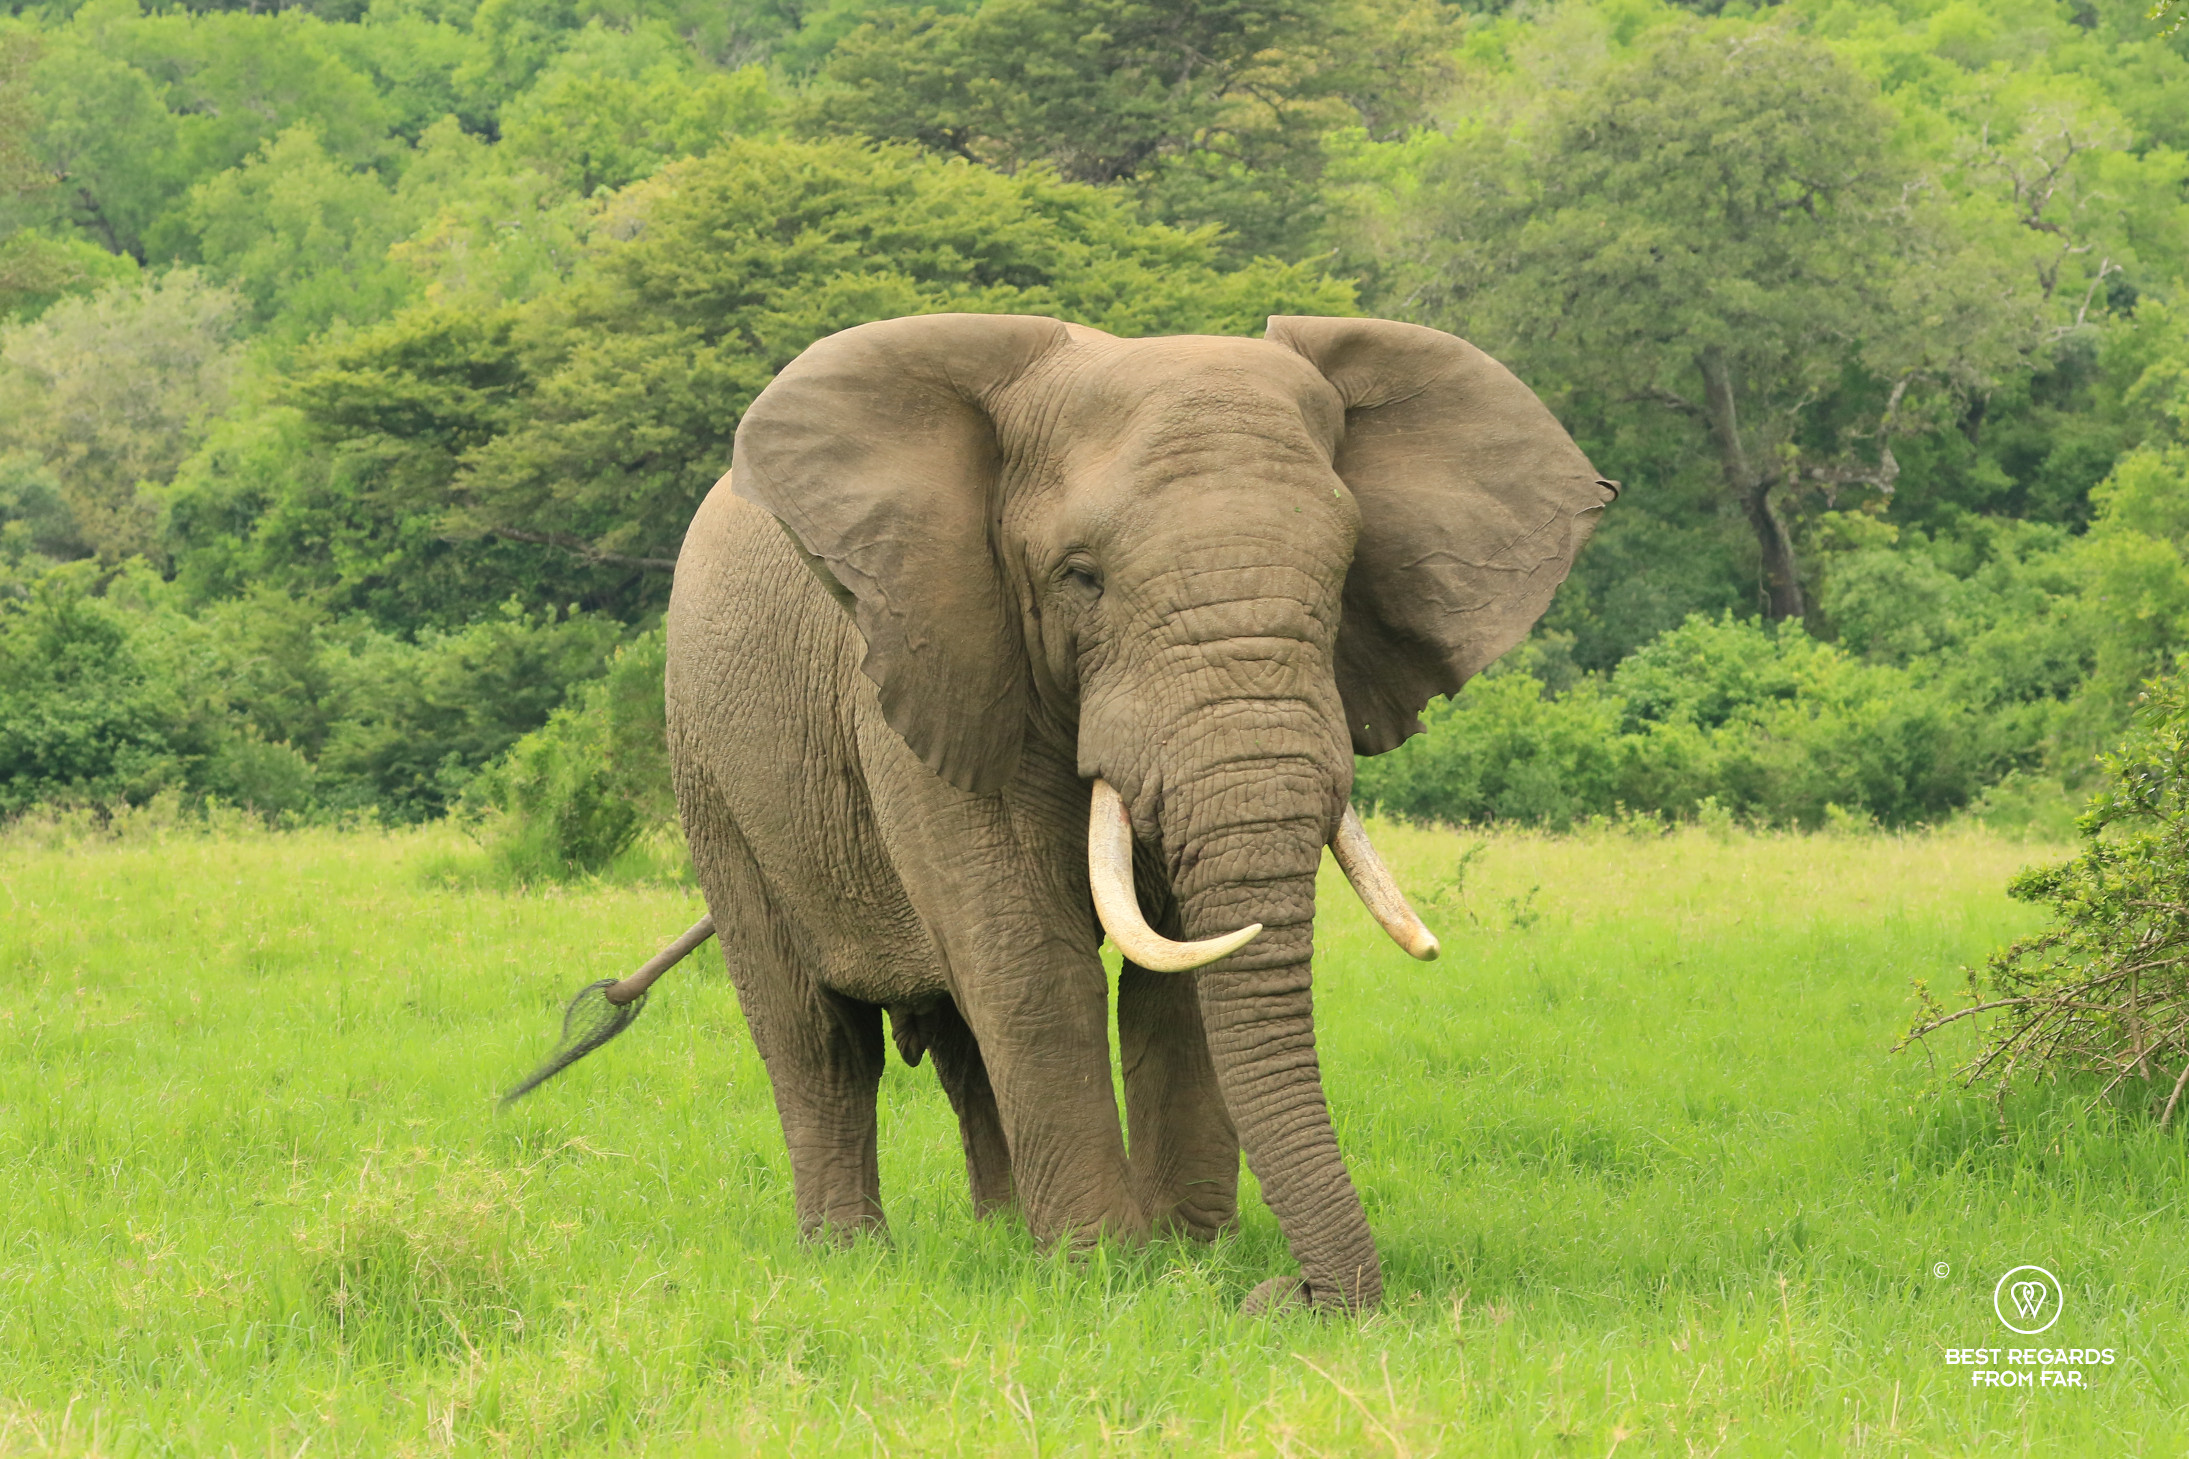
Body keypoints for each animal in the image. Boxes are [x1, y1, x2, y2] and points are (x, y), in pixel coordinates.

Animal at [664, 312, 1614, 1314]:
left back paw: (1000, 1239)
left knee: (961, 1046)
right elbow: (1030, 963)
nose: (1289, 1293)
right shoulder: (931, 663)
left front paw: (1187, 1259)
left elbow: (1181, 975)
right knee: (816, 1037)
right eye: (1080, 577)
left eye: (1347, 572)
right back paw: (850, 1257)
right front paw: (1103, 1268)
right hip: (710, 771)